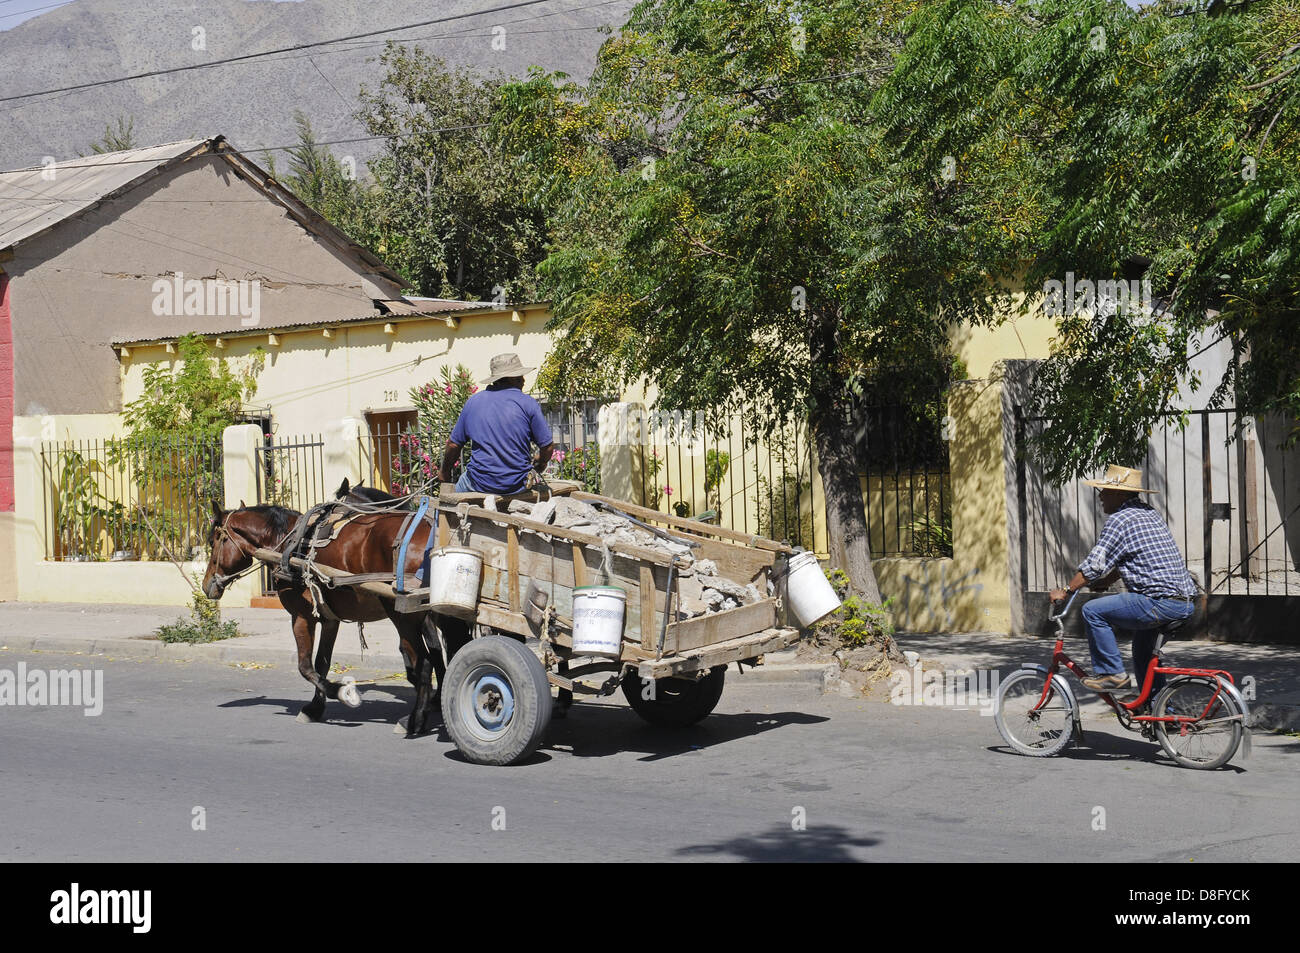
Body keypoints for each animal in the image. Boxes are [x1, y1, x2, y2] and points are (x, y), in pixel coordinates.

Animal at [200, 499, 470, 738]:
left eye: (214, 541)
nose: (206, 585)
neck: (286, 543)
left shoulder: (301, 616)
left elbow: (305, 666)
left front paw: (342, 692)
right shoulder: (330, 619)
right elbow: (321, 663)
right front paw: (315, 708)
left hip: (403, 616)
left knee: (423, 665)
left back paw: (414, 721)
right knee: (439, 655)